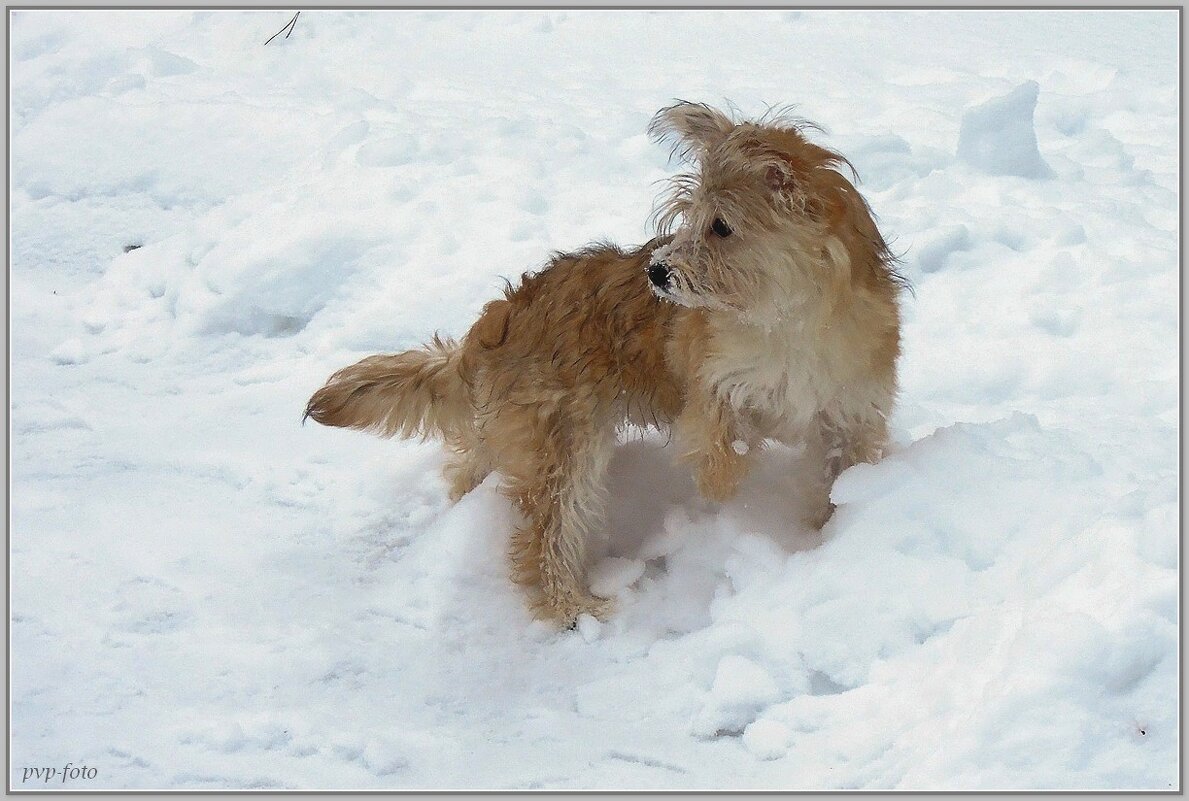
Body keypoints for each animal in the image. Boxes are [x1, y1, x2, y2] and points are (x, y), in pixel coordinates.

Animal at [304, 101, 898, 622]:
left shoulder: (851, 410)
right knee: (544, 537)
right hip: (564, 444)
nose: (657, 271)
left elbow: (838, 473)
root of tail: (499, 320)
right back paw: (571, 608)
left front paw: (831, 530)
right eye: (687, 219)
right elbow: (721, 444)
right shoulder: (711, 389)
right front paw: (725, 490)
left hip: (515, 433)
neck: (789, 321)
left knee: (472, 463)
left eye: (722, 226)